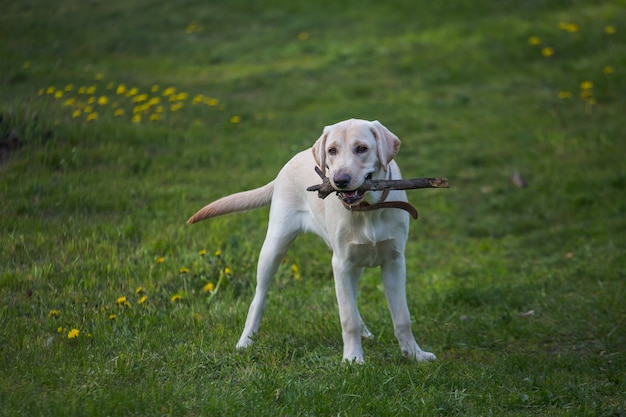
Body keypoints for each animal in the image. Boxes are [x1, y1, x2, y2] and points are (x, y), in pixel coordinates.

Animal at [186, 118, 434, 362]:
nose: (340, 180)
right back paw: (245, 341)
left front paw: (414, 354)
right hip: (275, 247)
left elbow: (402, 317)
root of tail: (289, 163)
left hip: (354, 262)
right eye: (332, 151)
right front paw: (353, 359)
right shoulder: (340, 263)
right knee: (259, 298)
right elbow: (347, 318)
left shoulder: (394, 262)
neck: (367, 210)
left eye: (362, 148)